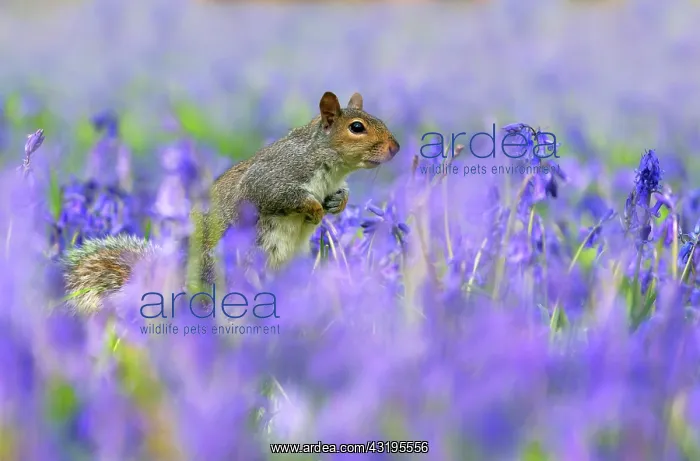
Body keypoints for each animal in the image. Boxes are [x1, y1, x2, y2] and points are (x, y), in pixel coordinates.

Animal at [61, 91, 400, 314]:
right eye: (357, 127)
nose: (395, 147)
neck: (329, 166)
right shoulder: (272, 178)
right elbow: (278, 196)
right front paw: (314, 208)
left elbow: (339, 197)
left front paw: (336, 204)